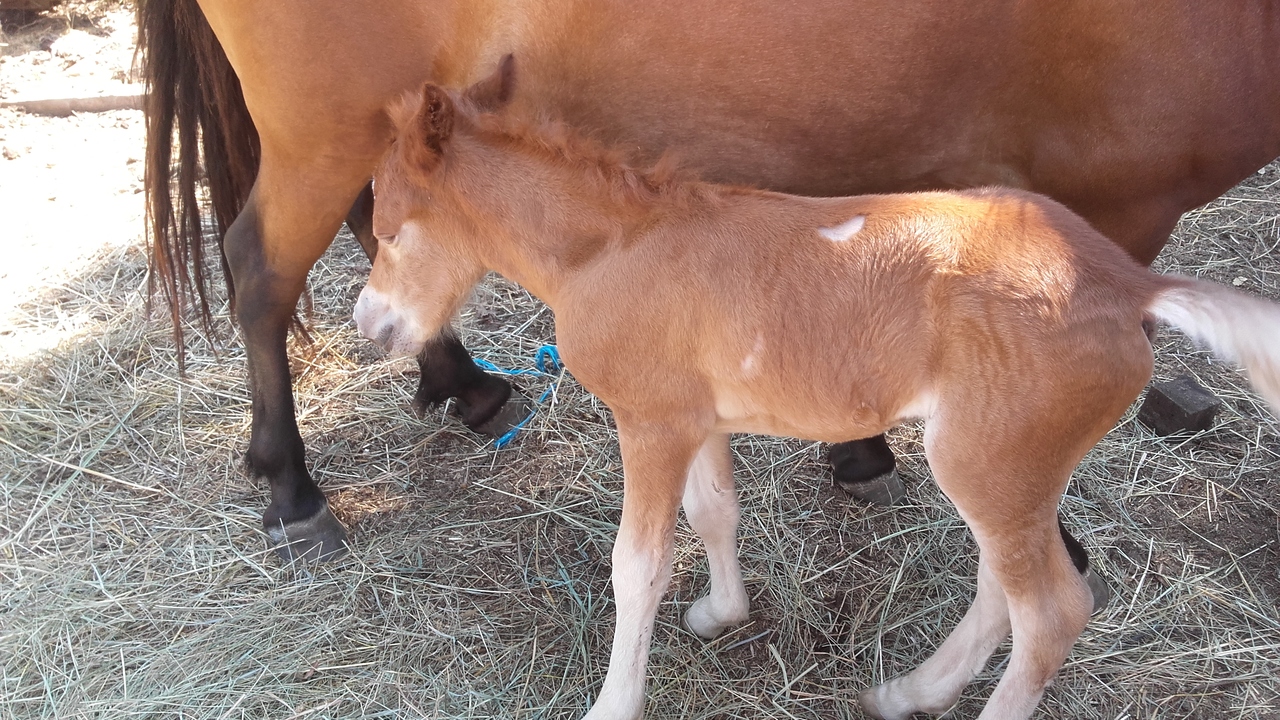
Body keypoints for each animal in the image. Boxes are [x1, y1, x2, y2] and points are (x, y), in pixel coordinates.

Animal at [350, 78, 1280, 717]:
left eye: (389, 228)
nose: (369, 325)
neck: (611, 248)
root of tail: (1127, 285)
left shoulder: (649, 421)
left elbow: (636, 566)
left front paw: (614, 703)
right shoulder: (696, 417)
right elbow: (715, 512)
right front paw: (721, 614)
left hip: (987, 461)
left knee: (1051, 610)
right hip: (1006, 467)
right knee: (1007, 584)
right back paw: (906, 692)